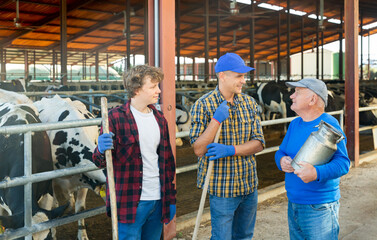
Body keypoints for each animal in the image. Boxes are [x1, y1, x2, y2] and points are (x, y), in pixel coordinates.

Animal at [34, 95, 106, 240]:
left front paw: (82, 234)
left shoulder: (84, 177)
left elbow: (80, 208)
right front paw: (53, 233)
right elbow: (53, 207)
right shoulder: (51, 180)